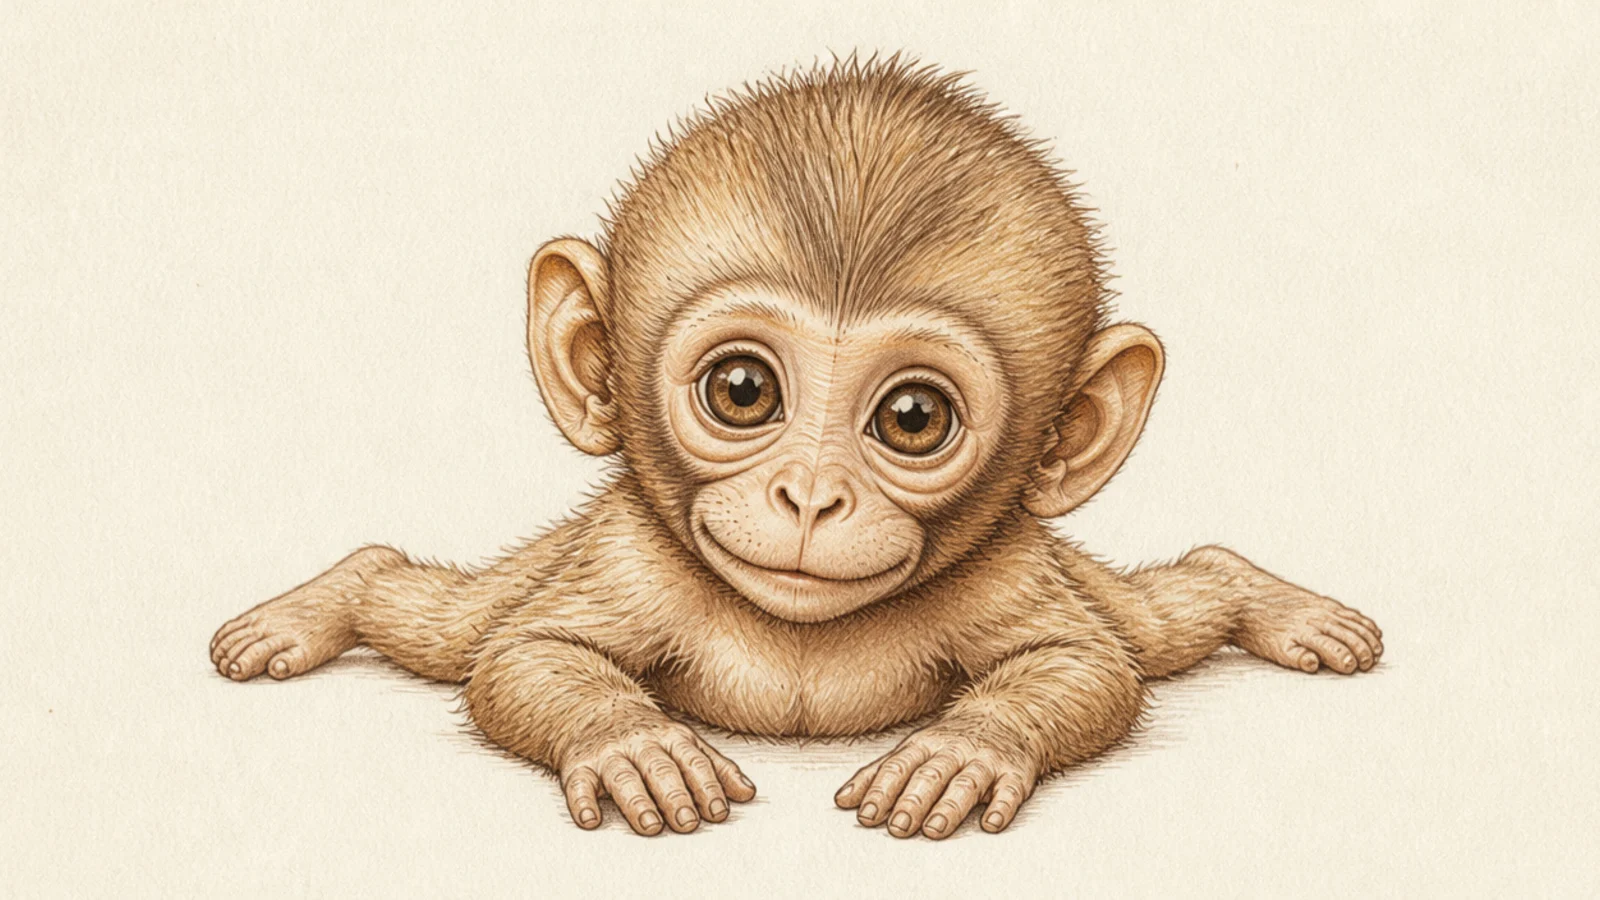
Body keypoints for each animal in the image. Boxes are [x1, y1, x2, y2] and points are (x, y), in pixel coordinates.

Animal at [209, 58, 1383, 840]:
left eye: (912, 419)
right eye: (743, 391)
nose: (812, 495)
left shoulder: (1012, 561)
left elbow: (1087, 665)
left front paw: (963, 751)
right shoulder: (625, 553)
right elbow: (522, 657)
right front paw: (631, 744)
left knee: (1163, 615)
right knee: (436, 617)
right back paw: (322, 601)